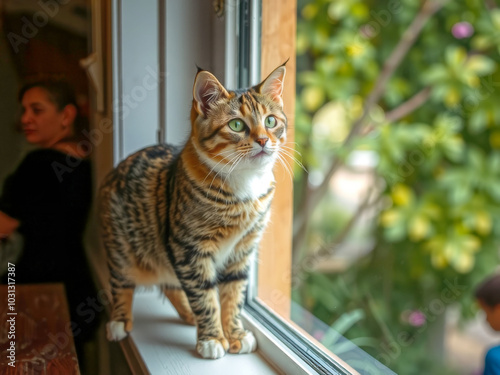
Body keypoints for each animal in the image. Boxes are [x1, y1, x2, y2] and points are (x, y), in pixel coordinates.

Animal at [99, 63, 288, 360]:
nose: (262, 140)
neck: (244, 186)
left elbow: (233, 294)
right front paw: (212, 338)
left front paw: (233, 333)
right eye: (236, 125)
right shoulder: (189, 247)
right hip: (122, 247)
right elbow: (204, 294)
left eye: (270, 121)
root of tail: (111, 175)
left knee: (170, 285)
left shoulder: (242, 249)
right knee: (121, 283)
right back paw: (119, 322)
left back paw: (189, 314)